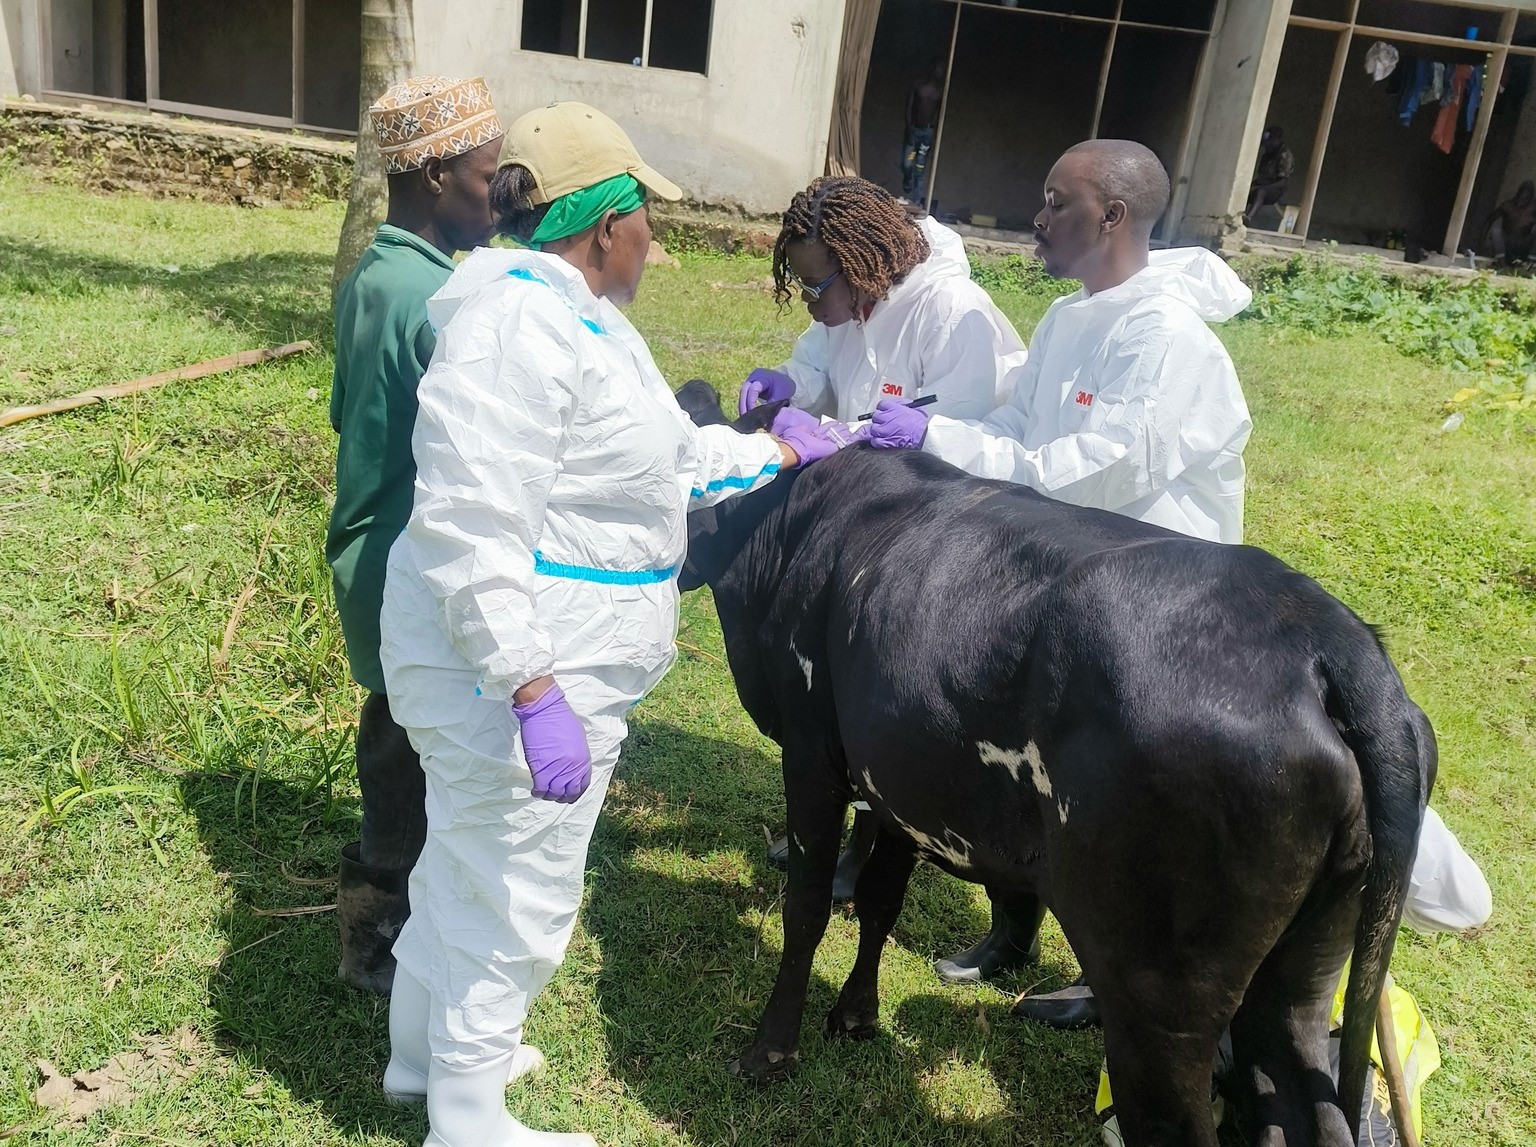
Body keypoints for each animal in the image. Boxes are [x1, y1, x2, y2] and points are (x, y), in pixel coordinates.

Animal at [678, 383, 1431, 1147]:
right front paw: (856, 1016)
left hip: (1157, 993)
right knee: (1301, 1099)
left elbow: (806, 905)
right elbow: (881, 898)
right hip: (1299, 975)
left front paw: (770, 1052)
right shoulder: (892, 780)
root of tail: (1328, 638)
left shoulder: (811, 754)